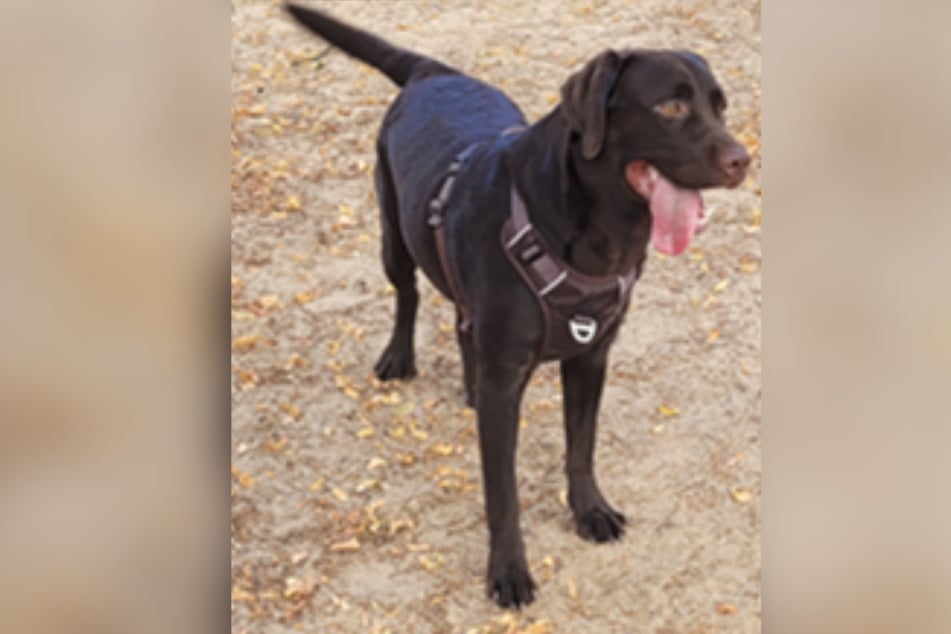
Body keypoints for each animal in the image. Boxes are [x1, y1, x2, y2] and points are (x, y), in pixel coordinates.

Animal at [286, 1, 748, 608]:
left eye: (720, 107)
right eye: (670, 106)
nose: (743, 159)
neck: (594, 232)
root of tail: (434, 72)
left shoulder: (590, 357)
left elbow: (581, 447)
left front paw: (589, 511)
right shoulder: (507, 380)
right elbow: (501, 492)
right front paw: (508, 570)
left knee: (462, 322)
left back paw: (467, 385)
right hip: (395, 236)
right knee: (408, 295)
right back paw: (399, 357)